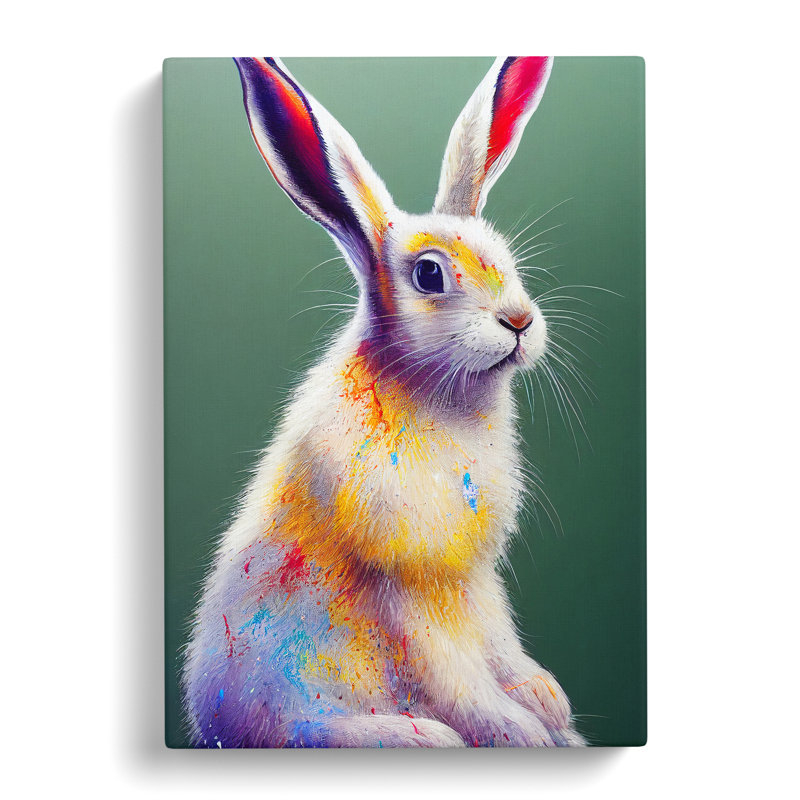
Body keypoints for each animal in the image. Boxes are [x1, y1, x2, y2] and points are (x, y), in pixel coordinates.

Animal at [182, 56, 585, 748]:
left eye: (506, 258)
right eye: (429, 275)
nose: (519, 321)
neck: (435, 396)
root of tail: (212, 722)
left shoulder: (475, 583)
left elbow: (499, 644)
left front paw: (547, 700)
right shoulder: (410, 588)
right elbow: (456, 675)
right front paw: (517, 729)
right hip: (303, 711)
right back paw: (418, 734)